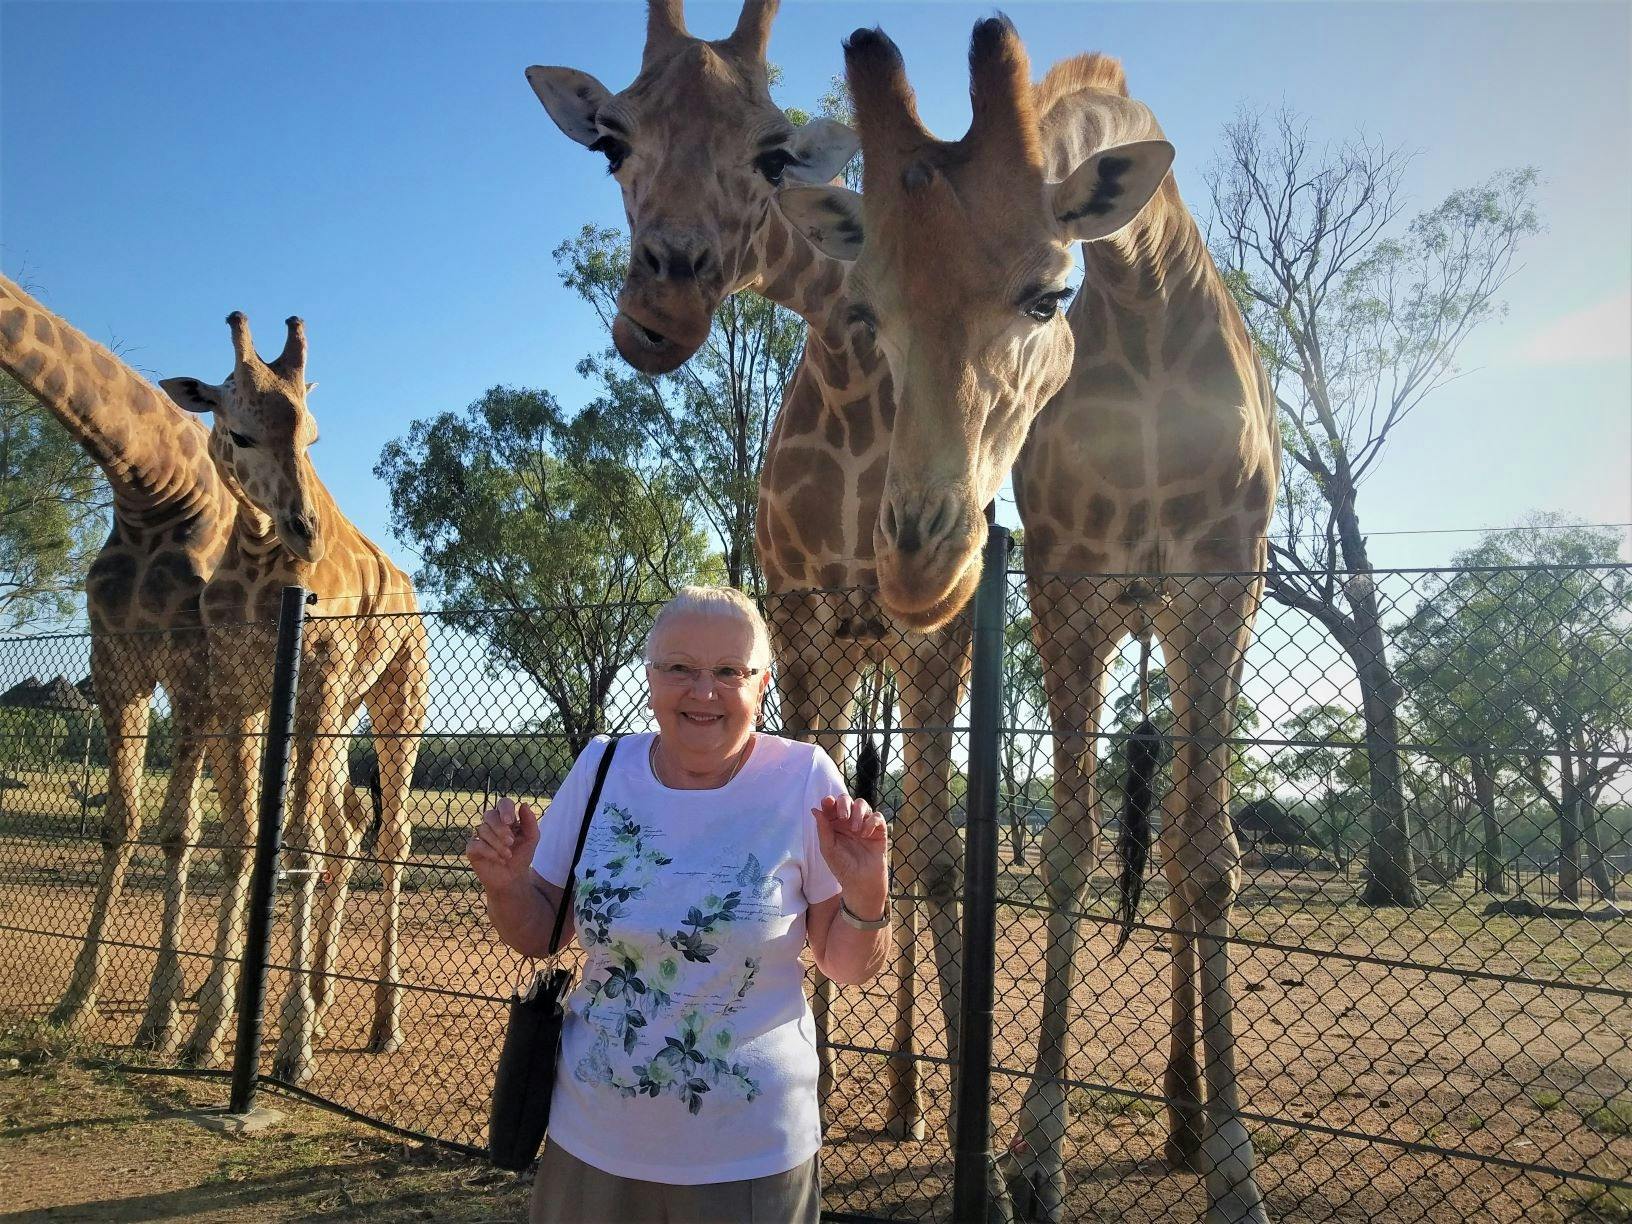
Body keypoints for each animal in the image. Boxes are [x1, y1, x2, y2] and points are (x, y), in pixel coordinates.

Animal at [0, 275, 237, 1053]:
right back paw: (214, 998)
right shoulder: (115, 661)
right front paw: (76, 1000)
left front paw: (160, 1019)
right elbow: (119, 821)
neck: (150, 486)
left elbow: (177, 830)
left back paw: (222, 1015)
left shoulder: (191, 664)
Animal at [160, 312, 427, 1084]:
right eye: (240, 432)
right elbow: (242, 838)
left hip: (397, 697)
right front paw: (207, 1031)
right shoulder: (237, 692)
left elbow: (296, 838)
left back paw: (384, 1022)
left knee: (390, 834)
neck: (255, 560)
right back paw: (321, 990)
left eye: (312, 435)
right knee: (347, 829)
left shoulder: (322, 676)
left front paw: (290, 1044)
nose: (304, 530)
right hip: (336, 722)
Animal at [528, 0, 972, 1140]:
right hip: (855, 652)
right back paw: (892, 1094)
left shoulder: (935, 630)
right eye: (611, 143)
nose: (658, 315)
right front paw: (813, 1072)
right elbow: (819, 812)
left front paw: (979, 1149)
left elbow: (934, 850)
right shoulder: (803, 616)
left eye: (772, 154)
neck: (858, 373)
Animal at [776, 19, 1276, 1224]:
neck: (1145, 303)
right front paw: (1035, 1158)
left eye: (1049, 296)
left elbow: (1209, 864)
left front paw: (1238, 1175)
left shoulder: (1221, 593)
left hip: (1179, 627)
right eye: (871, 310)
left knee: (1184, 845)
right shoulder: (1069, 595)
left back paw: (1188, 1123)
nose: (916, 555)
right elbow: (1067, 851)